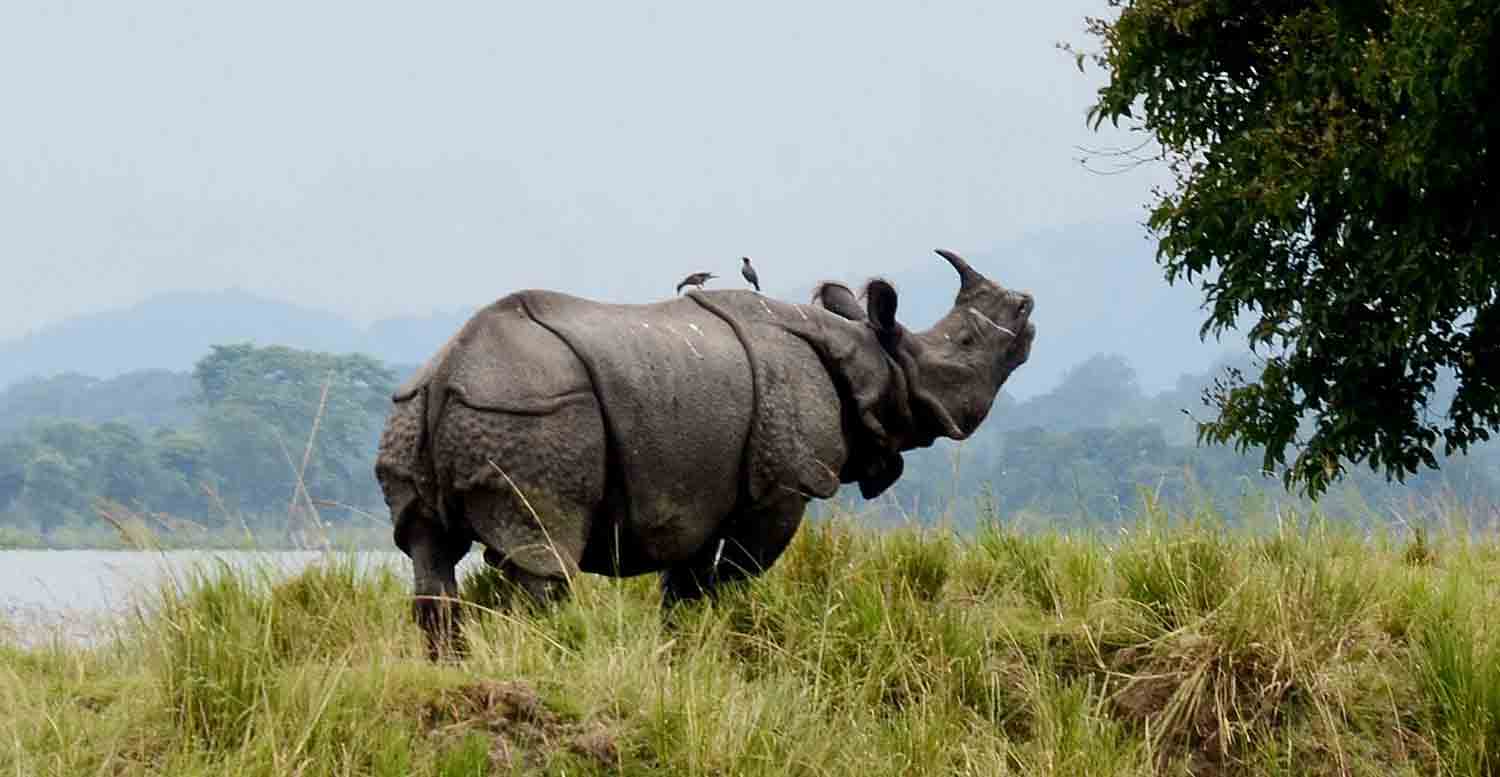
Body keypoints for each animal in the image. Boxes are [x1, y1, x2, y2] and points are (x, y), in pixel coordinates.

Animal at [375, 249, 1035, 656]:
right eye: (966, 345)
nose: (1027, 312)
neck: (867, 351)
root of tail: (449, 370)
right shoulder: (784, 484)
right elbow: (740, 571)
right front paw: (734, 633)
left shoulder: (696, 491)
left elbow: (686, 585)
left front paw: (682, 647)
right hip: (529, 413)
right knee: (544, 556)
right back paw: (550, 654)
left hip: (412, 410)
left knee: (427, 548)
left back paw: (453, 665)